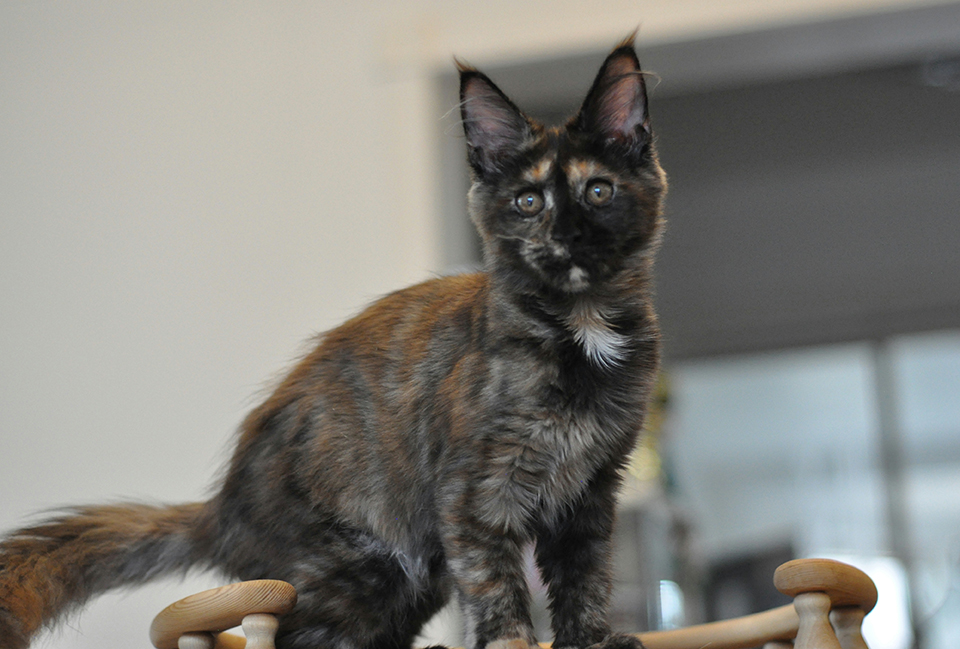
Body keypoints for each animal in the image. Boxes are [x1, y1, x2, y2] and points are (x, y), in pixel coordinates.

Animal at [0, 38, 668, 648]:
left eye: (599, 191)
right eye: (528, 202)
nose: (566, 237)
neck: (583, 329)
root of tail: (220, 510)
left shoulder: (589, 494)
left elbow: (584, 579)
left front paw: (595, 639)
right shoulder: (475, 496)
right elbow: (498, 591)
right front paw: (515, 643)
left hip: (410, 577)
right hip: (359, 568)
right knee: (291, 635)